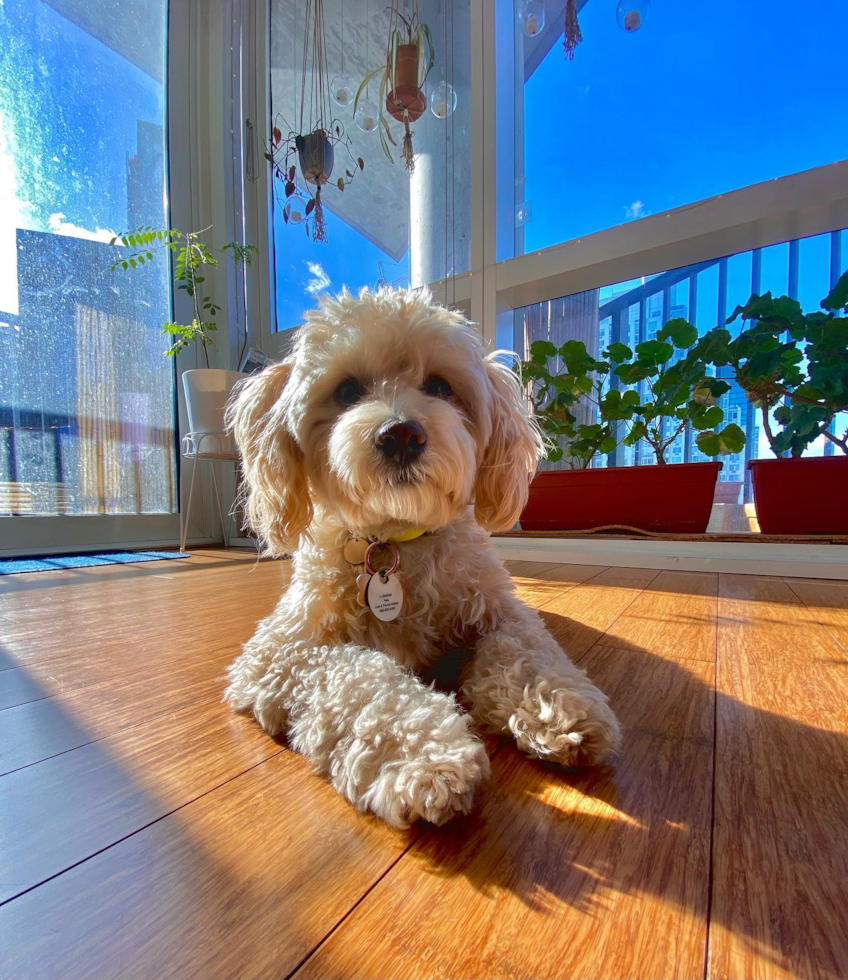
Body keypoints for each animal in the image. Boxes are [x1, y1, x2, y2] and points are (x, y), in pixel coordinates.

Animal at [225, 290, 620, 828]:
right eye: (346, 391)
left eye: (438, 386)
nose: (401, 435)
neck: (396, 540)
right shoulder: (283, 650)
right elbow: (364, 683)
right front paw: (426, 757)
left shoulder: (501, 611)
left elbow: (527, 653)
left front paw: (563, 709)